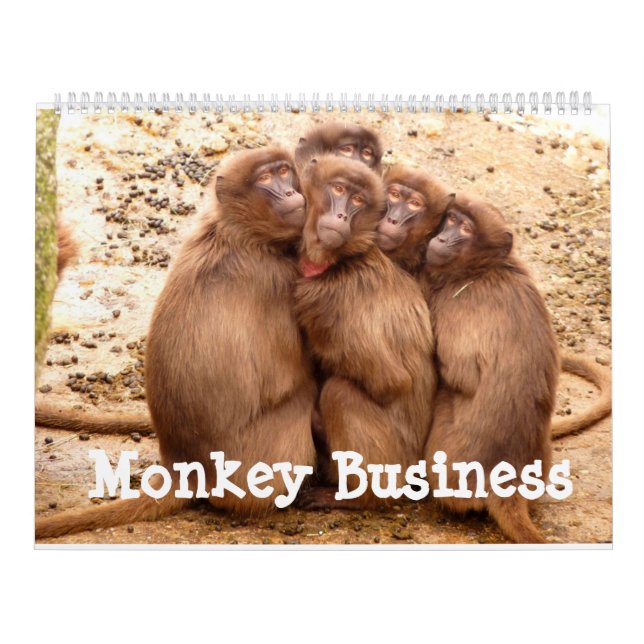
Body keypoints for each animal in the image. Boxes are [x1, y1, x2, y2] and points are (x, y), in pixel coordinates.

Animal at [35, 146, 317, 539]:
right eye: (265, 178)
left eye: (284, 172)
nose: (291, 192)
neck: (236, 233)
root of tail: (186, 466)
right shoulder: (280, 279)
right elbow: (294, 378)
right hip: (263, 464)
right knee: (303, 400)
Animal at [292, 154, 437, 509]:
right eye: (338, 189)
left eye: (357, 200)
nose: (341, 215)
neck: (341, 260)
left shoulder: (330, 301)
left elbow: (390, 382)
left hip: (392, 464)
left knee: (340, 393)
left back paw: (356, 497)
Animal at [420, 194, 571, 543]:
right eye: (451, 219)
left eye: (465, 228)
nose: (442, 238)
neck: (486, 269)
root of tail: (508, 481)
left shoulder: (458, 303)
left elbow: (459, 375)